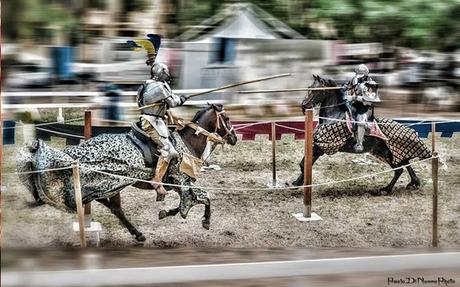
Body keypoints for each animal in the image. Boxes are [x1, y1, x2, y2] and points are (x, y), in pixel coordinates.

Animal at [292, 66, 434, 194]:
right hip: (388, 153)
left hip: (391, 153)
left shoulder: (323, 146)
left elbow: (304, 164)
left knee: (400, 169)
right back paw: (411, 183)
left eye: (315, 90)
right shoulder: (318, 145)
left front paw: (299, 183)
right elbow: (306, 163)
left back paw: (387, 189)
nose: (303, 105)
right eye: (309, 88)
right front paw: (297, 183)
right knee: (403, 165)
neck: (333, 116)